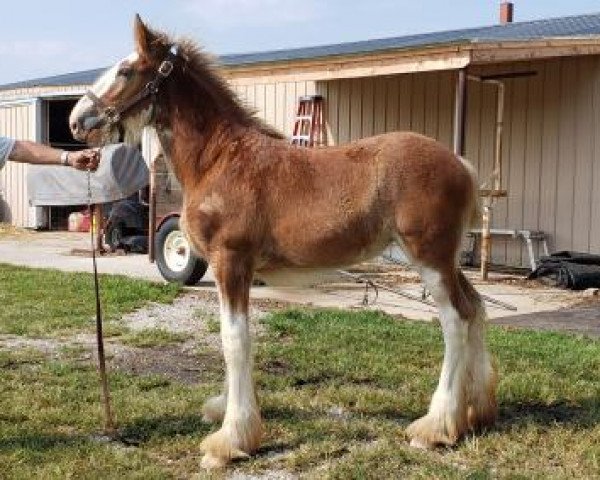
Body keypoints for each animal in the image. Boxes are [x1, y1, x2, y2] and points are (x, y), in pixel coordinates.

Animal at [69, 14, 496, 468]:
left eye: (126, 70)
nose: (76, 120)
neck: (219, 159)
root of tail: (462, 166)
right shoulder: (231, 268)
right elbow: (232, 338)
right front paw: (224, 411)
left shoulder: (231, 261)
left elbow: (234, 340)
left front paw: (230, 441)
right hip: (446, 260)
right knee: (475, 308)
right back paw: (476, 412)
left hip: (429, 257)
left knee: (455, 320)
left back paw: (436, 427)